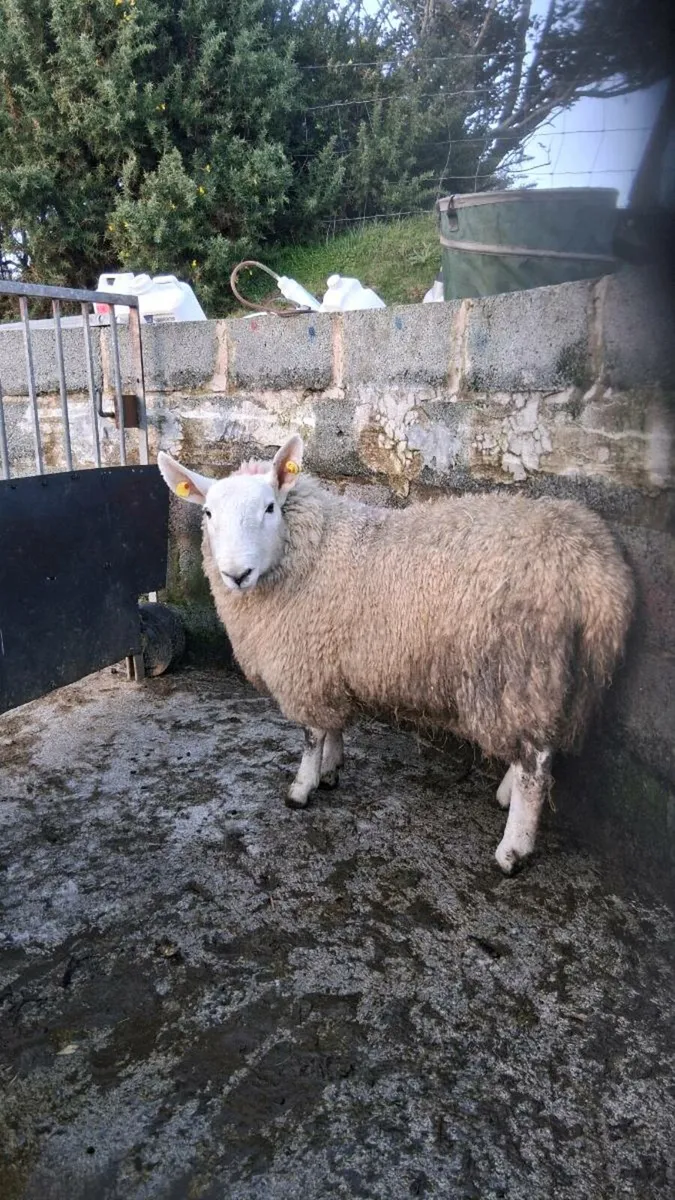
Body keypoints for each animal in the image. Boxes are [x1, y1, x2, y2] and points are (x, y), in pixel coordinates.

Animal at [158, 434, 634, 874]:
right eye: (207, 513)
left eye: (270, 507)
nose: (236, 574)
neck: (311, 550)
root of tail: (595, 569)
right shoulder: (327, 664)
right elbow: (333, 727)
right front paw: (331, 771)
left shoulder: (305, 668)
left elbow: (311, 735)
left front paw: (301, 788)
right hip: (543, 679)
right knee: (537, 748)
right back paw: (506, 795)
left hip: (517, 669)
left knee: (536, 765)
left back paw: (512, 851)